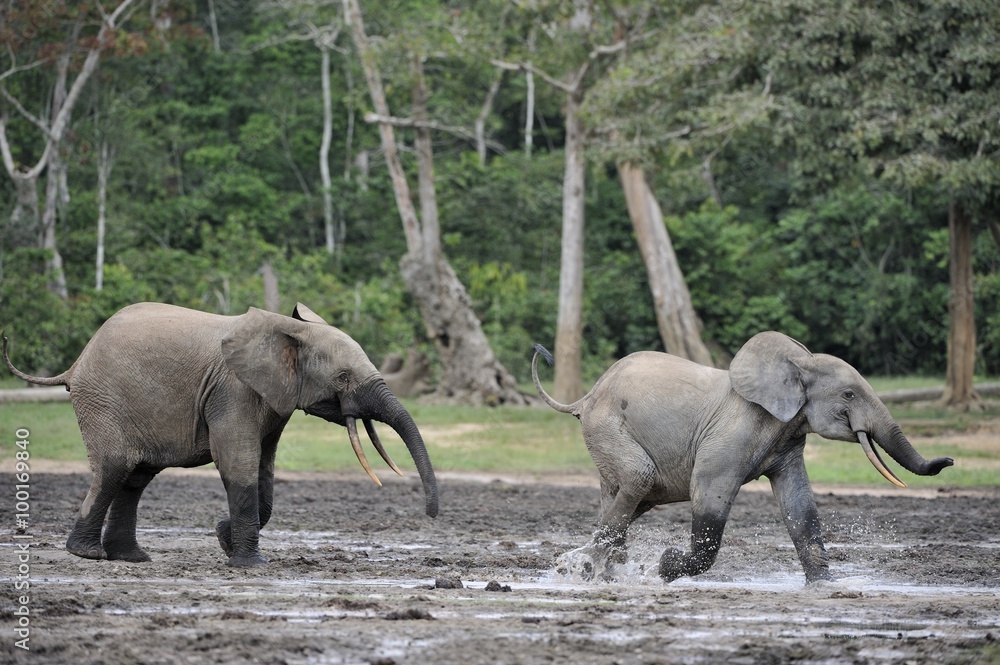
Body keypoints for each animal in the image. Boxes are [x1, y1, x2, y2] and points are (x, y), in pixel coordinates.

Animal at [3, 302, 438, 567]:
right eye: (343, 377)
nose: (431, 516)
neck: (288, 330)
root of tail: (75, 364)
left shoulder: (271, 400)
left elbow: (264, 471)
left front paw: (223, 538)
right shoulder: (233, 390)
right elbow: (238, 463)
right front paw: (249, 563)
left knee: (135, 477)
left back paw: (132, 558)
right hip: (103, 400)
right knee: (114, 467)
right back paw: (87, 555)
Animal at [530, 332, 953, 584]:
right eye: (849, 395)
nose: (948, 461)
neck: (799, 362)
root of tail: (586, 396)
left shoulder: (786, 437)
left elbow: (799, 504)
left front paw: (825, 586)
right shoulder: (734, 432)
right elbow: (709, 492)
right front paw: (666, 565)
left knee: (630, 497)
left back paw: (591, 568)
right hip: (607, 426)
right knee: (639, 478)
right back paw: (585, 568)